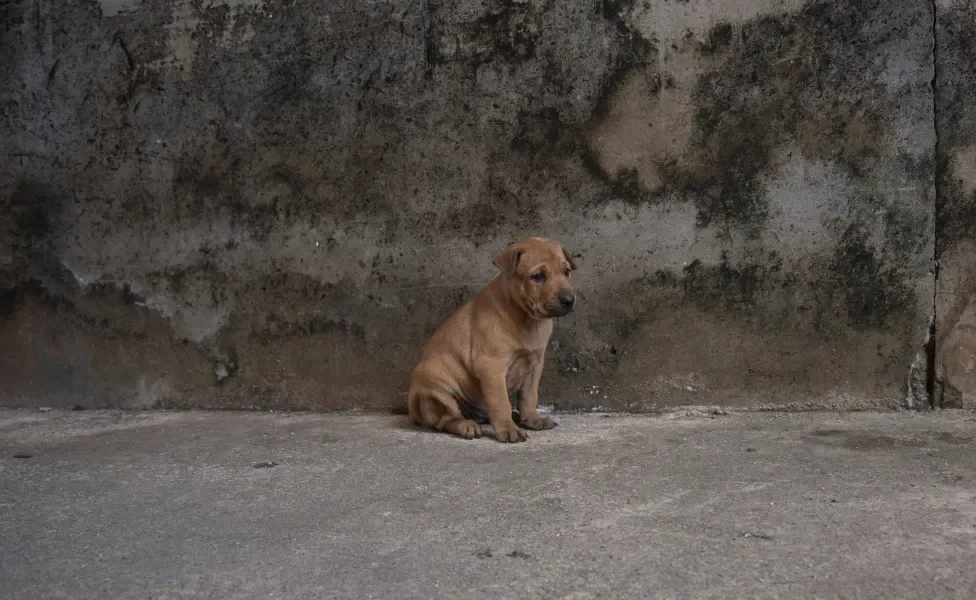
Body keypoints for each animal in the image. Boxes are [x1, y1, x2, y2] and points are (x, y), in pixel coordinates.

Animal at [406, 238, 576, 440]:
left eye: (566, 271)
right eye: (538, 276)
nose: (569, 300)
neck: (526, 318)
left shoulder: (534, 365)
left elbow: (529, 396)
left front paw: (532, 419)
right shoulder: (492, 367)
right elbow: (500, 402)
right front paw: (508, 430)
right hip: (435, 390)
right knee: (447, 419)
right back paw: (467, 426)